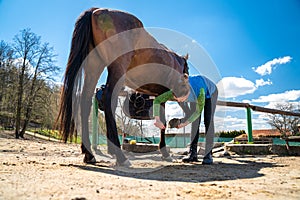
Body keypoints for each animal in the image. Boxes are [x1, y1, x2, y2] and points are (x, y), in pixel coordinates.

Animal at [57, 7, 189, 166]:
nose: (186, 89)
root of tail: (97, 10)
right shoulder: (166, 95)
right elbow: (166, 120)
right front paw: (165, 151)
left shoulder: (159, 96)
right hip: (117, 69)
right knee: (108, 98)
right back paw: (120, 156)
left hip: (94, 66)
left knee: (86, 101)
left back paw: (89, 154)